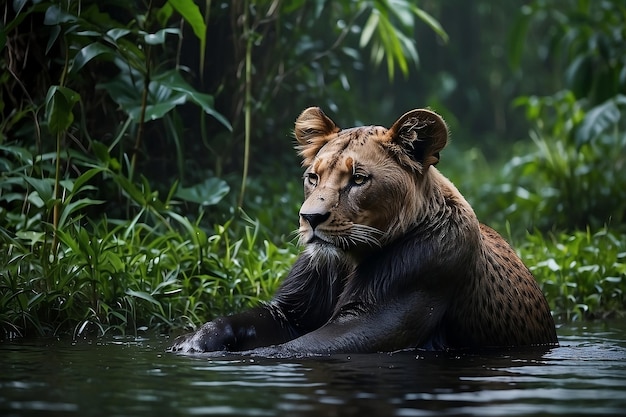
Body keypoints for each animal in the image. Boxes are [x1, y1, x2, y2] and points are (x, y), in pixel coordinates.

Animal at [169, 106, 556, 354]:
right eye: (313, 177)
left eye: (358, 179)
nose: (309, 218)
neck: (348, 259)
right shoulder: (290, 312)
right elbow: (245, 319)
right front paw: (190, 342)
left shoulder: (378, 317)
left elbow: (291, 349)